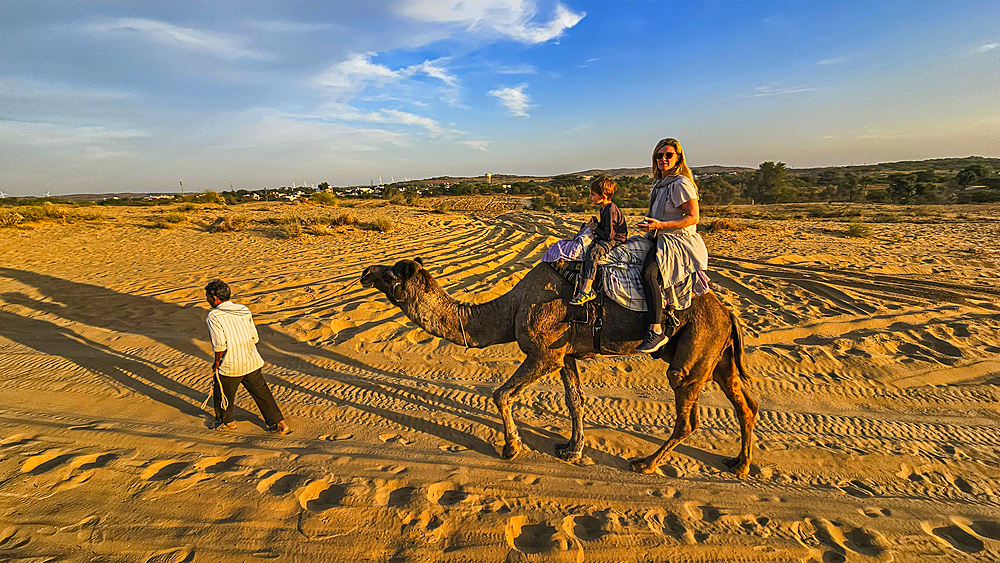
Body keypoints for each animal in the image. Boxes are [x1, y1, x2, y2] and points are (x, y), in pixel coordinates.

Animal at [360, 258, 756, 478]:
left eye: (393, 275)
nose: (365, 272)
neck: (510, 308)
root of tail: (727, 312)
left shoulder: (544, 353)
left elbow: (500, 394)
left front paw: (512, 448)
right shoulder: (564, 354)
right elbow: (575, 400)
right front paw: (571, 450)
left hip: (694, 352)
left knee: (688, 414)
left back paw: (646, 463)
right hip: (718, 355)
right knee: (745, 404)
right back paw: (739, 464)